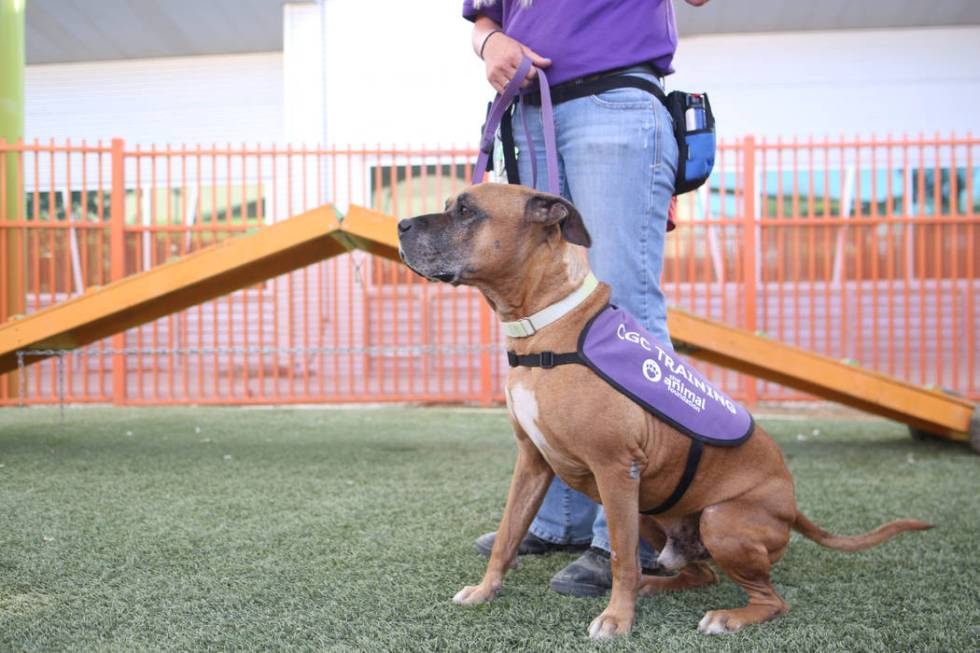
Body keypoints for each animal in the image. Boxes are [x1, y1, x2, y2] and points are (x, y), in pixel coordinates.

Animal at [396, 182, 928, 636]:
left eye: (467, 211)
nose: (400, 224)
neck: (544, 325)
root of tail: (793, 507)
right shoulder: (532, 462)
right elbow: (508, 536)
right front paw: (486, 591)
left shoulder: (615, 469)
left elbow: (619, 558)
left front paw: (616, 620)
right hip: (652, 509)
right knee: (699, 574)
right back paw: (657, 584)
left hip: (715, 518)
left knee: (770, 600)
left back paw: (727, 617)